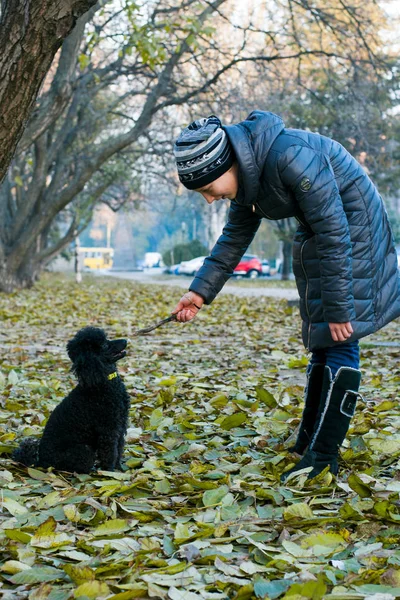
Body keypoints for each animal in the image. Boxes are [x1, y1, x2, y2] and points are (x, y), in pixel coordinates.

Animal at [12, 328, 130, 474]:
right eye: (103, 345)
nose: (125, 340)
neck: (105, 381)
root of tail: (41, 462)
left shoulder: (120, 424)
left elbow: (119, 448)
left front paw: (119, 469)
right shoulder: (108, 430)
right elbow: (110, 453)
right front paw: (110, 472)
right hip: (84, 451)